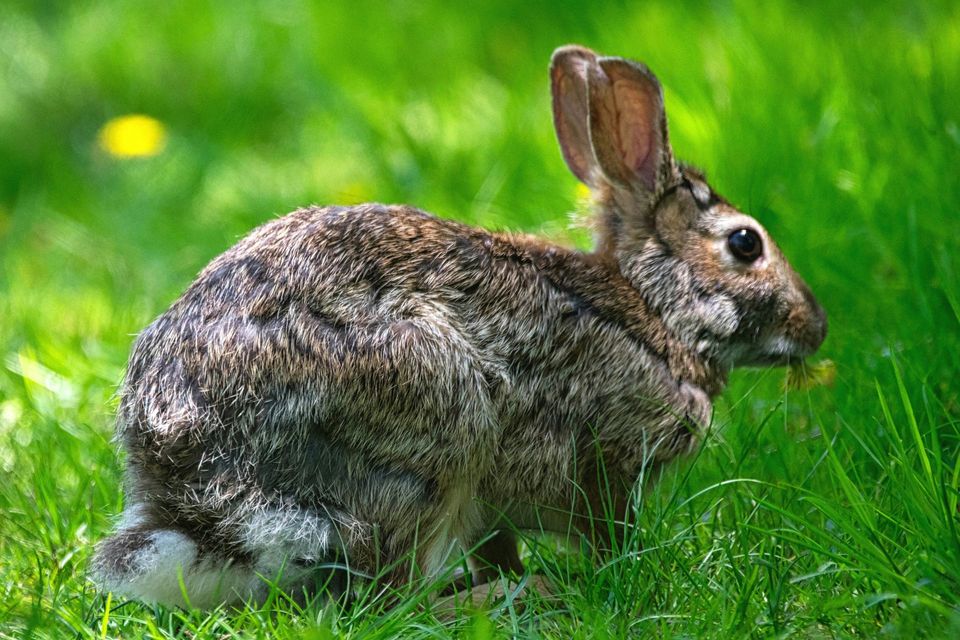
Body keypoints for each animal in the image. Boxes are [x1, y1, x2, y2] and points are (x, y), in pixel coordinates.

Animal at [91, 44, 827, 608]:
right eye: (745, 244)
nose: (816, 327)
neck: (652, 310)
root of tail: (190, 483)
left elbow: (497, 541)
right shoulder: (606, 456)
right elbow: (608, 533)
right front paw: (612, 573)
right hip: (436, 433)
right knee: (390, 598)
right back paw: (510, 597)